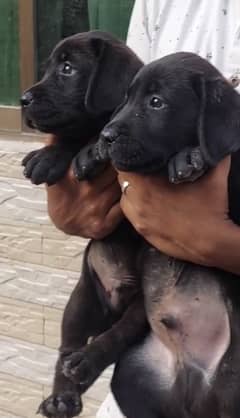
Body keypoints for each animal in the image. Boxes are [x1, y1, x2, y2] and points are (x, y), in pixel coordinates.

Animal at [21, 31, 148, 418]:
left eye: (67, 69)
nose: (23, 100)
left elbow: (100, 133)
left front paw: (92, 151)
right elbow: (76, 133)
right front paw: (49, 156)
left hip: (142, 309)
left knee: (113, 339)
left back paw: (86, 363)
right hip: (80, 303)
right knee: (66, 352)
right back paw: (61, 397)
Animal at [88, 51, 240, 418]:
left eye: (156, 102)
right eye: (126, 98)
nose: (105, 135)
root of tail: (197, 390)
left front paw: (191, 156)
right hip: (134, 374)